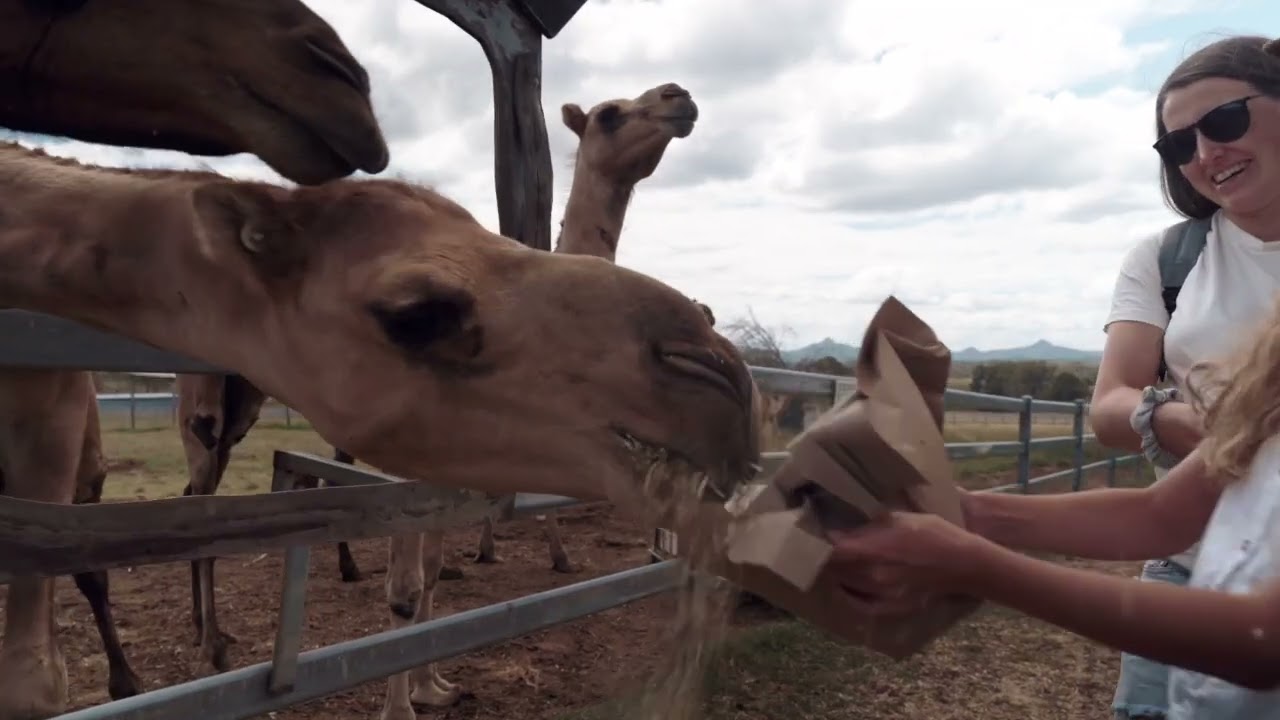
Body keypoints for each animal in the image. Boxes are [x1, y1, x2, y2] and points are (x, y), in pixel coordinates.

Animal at [0, 141, 762, 718]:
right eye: (418, 313)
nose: (725, 385)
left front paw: (436, 681)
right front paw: (414, 697)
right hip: (193, 425)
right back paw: (196, 649)